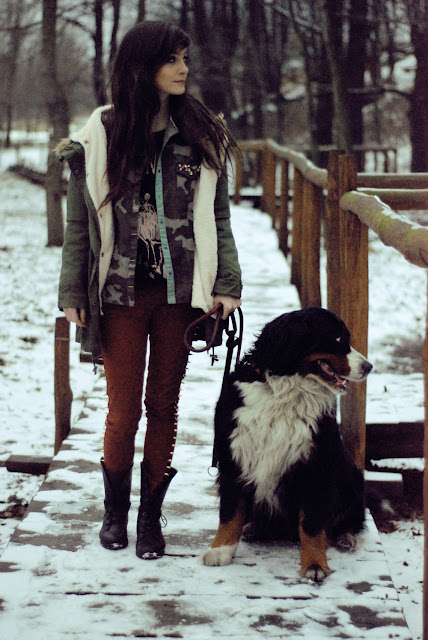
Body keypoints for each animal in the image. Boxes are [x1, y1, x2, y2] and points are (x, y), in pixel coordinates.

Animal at [202, 308, 372, 584]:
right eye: (337, 339)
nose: (368, 367)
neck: (284, 393)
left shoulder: (315, 466)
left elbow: (312, 525)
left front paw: (314, 565)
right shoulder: (233, 456)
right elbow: (230, 511)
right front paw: (220, 550)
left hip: (351, 477)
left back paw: (348, 538)